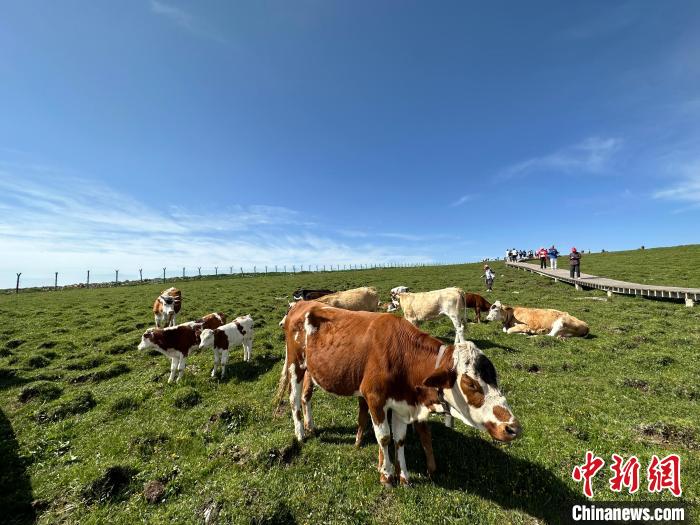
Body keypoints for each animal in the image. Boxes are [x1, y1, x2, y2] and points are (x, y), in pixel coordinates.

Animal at [278, 300, 520, 486]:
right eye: (471, 384)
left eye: (495, 379)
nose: (513, 428)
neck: (404, 356)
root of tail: (302, 303)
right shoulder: (375, 399)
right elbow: (385, 438)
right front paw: (386, 475)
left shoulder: (402, 403)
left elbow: (400, 440)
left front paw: (403, 476)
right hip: (295, 365)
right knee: (294, 399)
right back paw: (300, 433)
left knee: (306, 397)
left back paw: (310, 425)